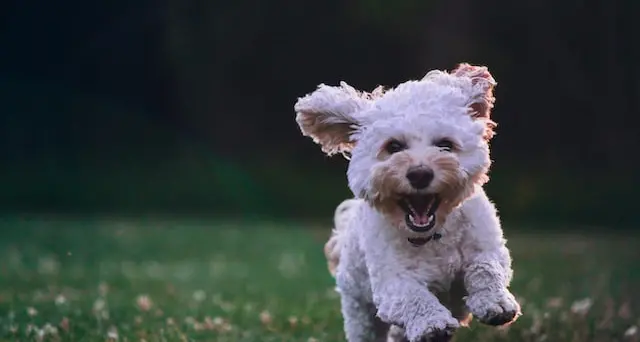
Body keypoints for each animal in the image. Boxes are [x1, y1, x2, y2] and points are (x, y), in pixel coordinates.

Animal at [296, 62, 520, 340]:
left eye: (445, 145)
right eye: (394, 146)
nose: (420, 174)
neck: (433, 236)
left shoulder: (488, 247)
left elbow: (485, 268)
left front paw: (495, 303)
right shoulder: (392, 283)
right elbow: (413, 296)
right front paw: (432, 323)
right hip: (359, 310)